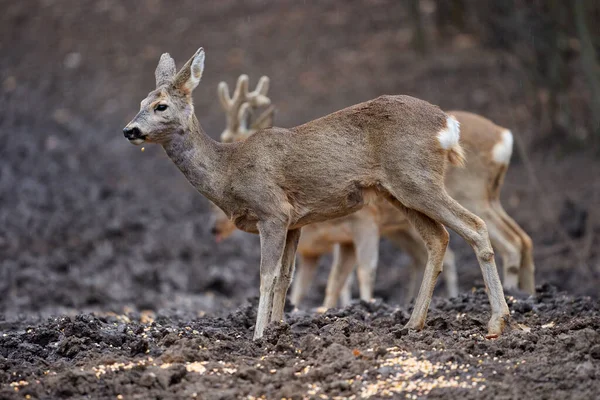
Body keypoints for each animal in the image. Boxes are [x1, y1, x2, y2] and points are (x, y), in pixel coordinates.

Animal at [124, 48, 508, 340]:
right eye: (141, 101)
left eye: (161, 106)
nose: (129, 130)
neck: (229, 171)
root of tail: (447, 125)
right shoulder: (295, 222)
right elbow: (287, 278)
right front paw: (278, 327)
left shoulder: (272, 211)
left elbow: (266, 277)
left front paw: (258, 335)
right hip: (400, 191)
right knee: (438, 238)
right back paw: (414, 323)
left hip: (416, 179)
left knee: (475, 226)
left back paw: (496, 322)